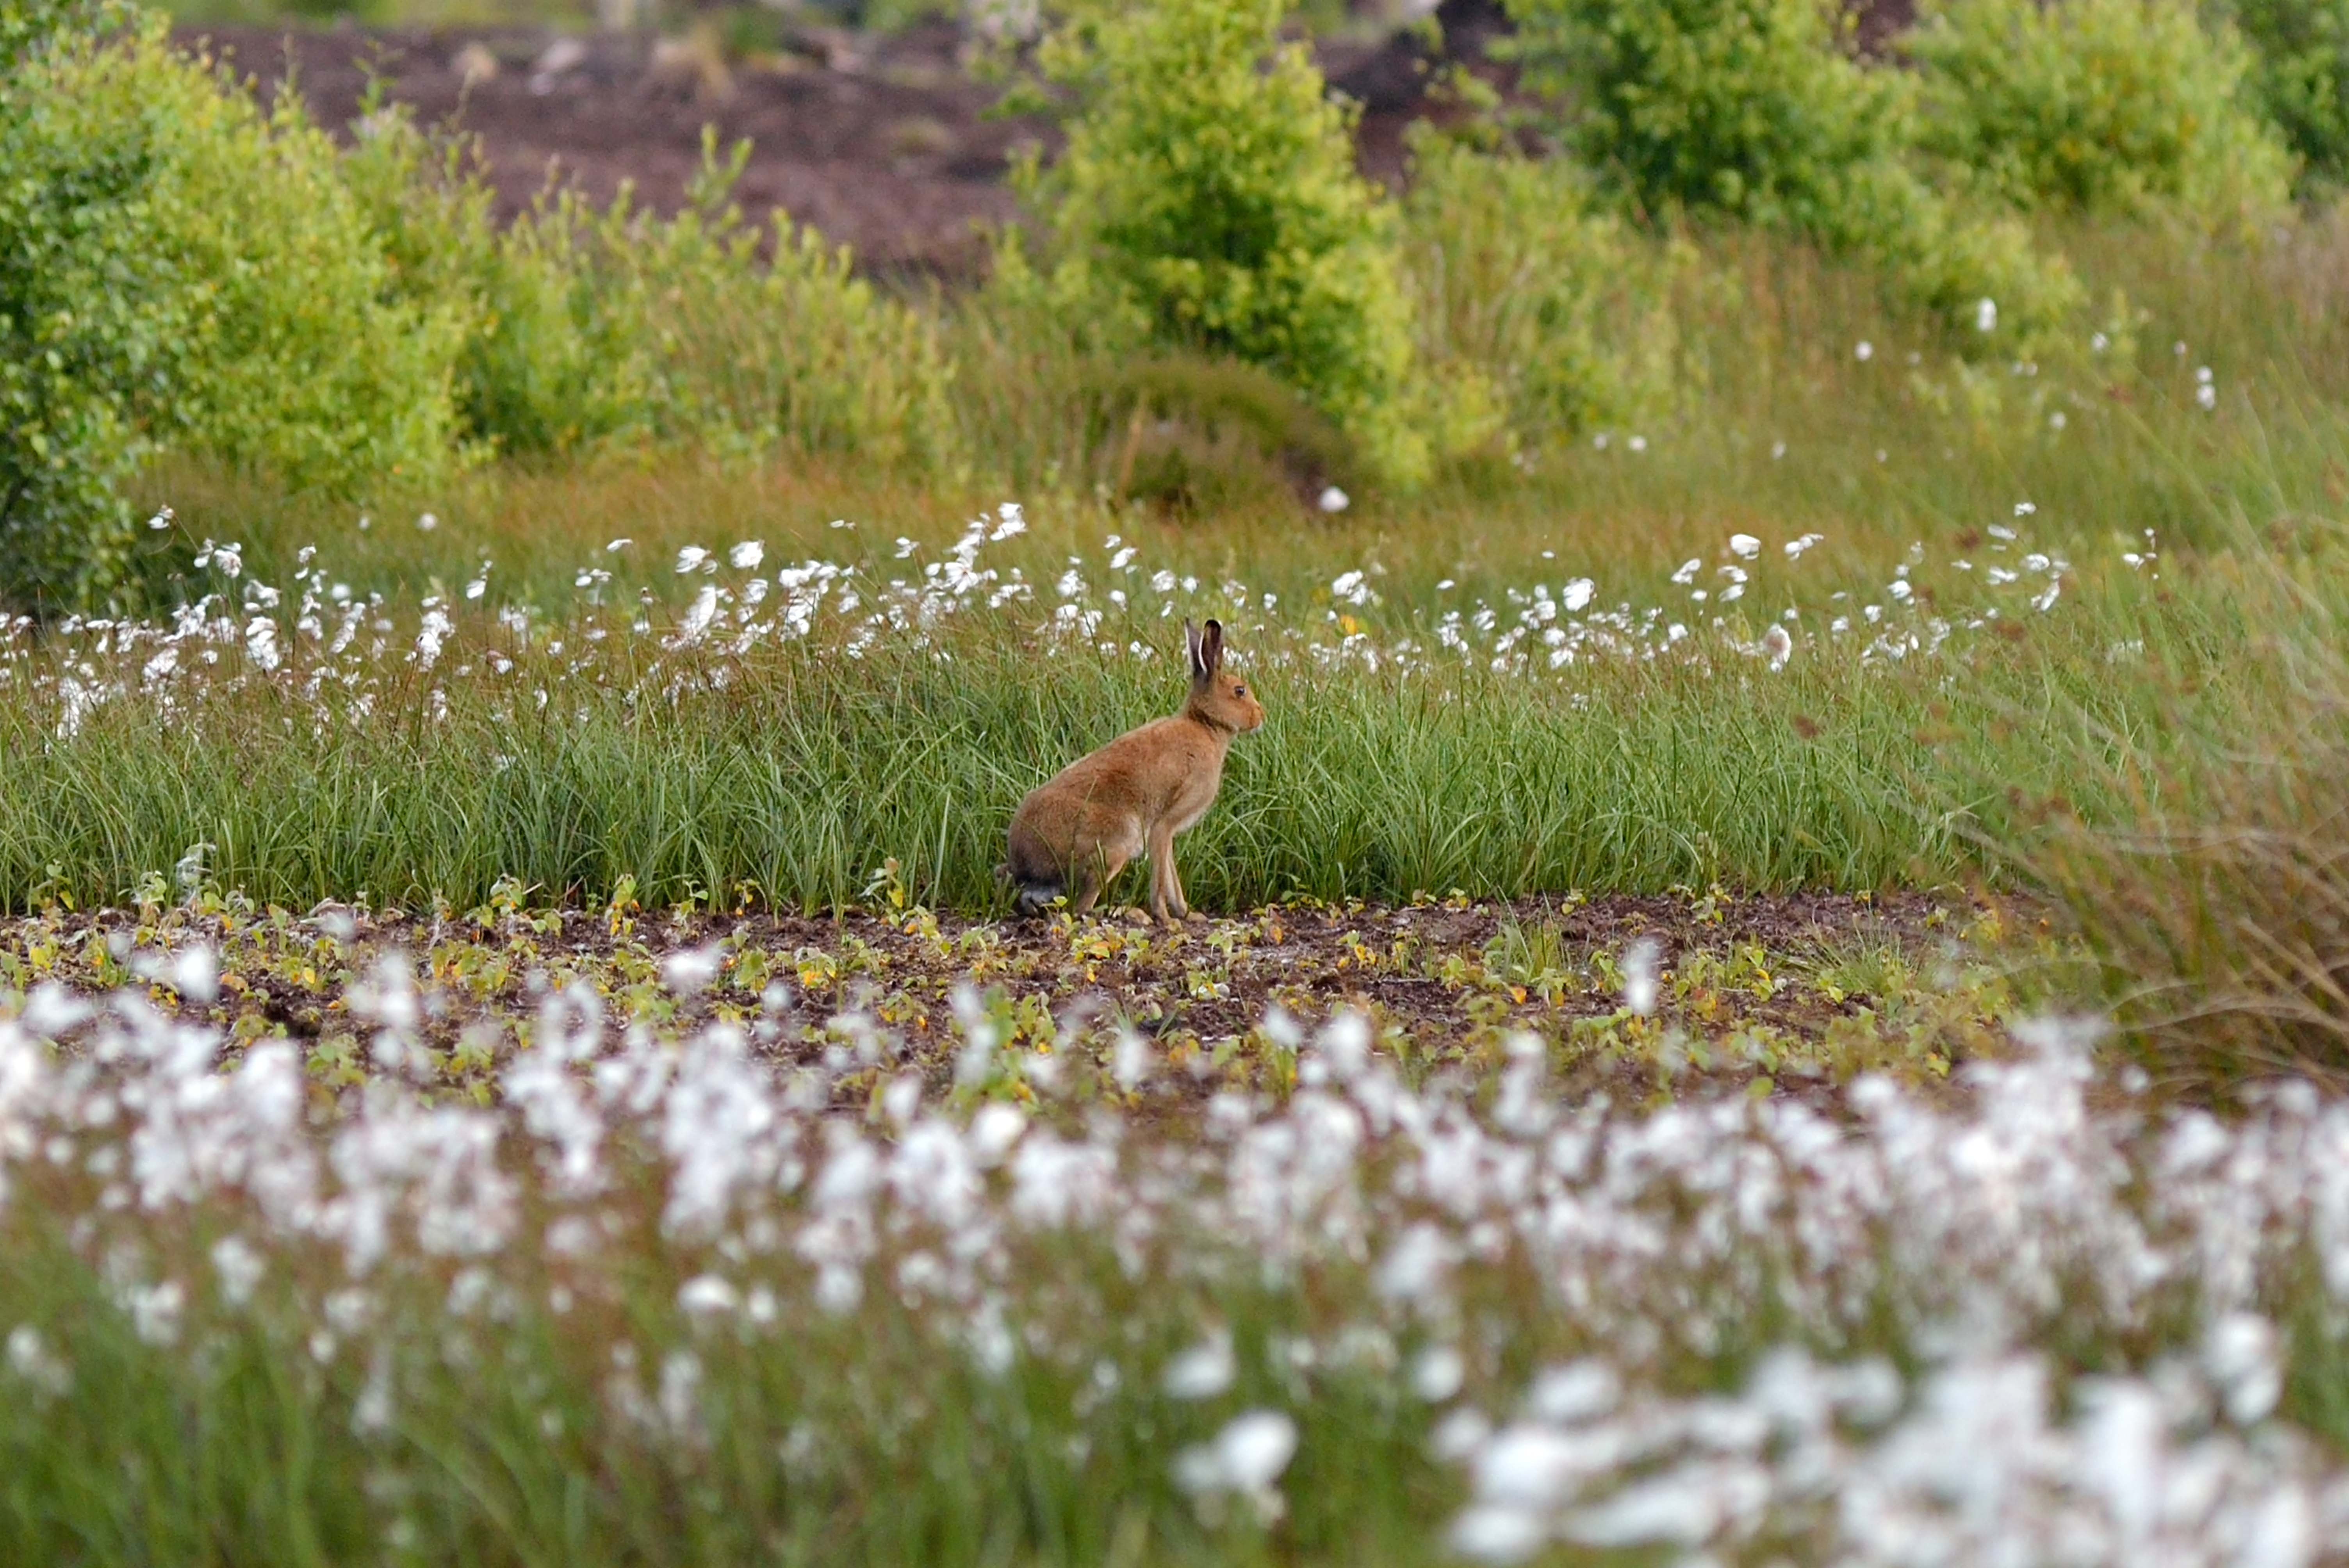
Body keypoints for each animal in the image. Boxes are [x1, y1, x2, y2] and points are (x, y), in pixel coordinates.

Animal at [999, 618, 1265, 925]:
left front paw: (1189, 914)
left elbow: (1170, 874)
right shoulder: (1164, 825)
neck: (1206, 726)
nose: (1261, 717)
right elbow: (1161, 878)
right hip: (1117, 844)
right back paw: (1134, 914)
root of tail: (1024, 860)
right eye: (1240, 691)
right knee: (1082, 909)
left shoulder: (1167, 835)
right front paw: (1169, 919)